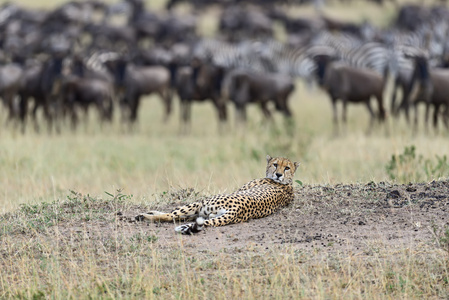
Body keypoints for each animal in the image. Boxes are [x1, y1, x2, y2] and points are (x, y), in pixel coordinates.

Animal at [135, 155, 300, 234]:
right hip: (205, 212)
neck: (287, 183)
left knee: (171, 216)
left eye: (286, 168)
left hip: (201, 203)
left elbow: (172, 213)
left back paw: (144, 216)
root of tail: (237, 210)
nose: (278, 174)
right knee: (182, 217)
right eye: (275, 164)